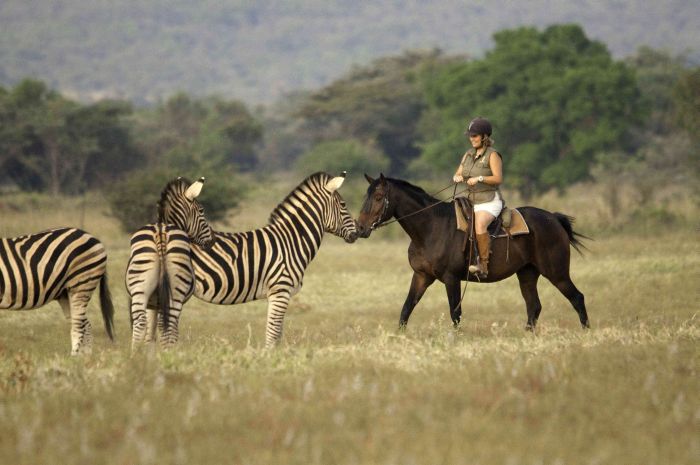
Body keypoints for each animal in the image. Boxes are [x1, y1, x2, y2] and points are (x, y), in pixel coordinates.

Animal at [125, 178, 213, 348]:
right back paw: (169, 352)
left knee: (140, 324)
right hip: (176, 292)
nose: (213, 240)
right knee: (169, 326)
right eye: (201, 211)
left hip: (140, 288)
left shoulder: (153, 303)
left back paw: (135, 354)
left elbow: (150, 334)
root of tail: (161, 232)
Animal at [190, 169, 356, 344]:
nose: (358, 231)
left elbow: (277, 334)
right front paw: (268, 352)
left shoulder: (279, 294)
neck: (291, 240)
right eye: (343, 205)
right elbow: (273, 333)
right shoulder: (280, 290)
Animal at [356, 174, 592, 330]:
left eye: (378, 196)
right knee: (534, 307)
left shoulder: (451, 278)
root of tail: (554, 219)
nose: (360, 228)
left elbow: (455, 313)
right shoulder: (421, 276)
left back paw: (585, 332)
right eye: (366, 195)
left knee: (577, 298)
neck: (431, 227)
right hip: (527, 273)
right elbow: (406, 310)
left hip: (556, 273)